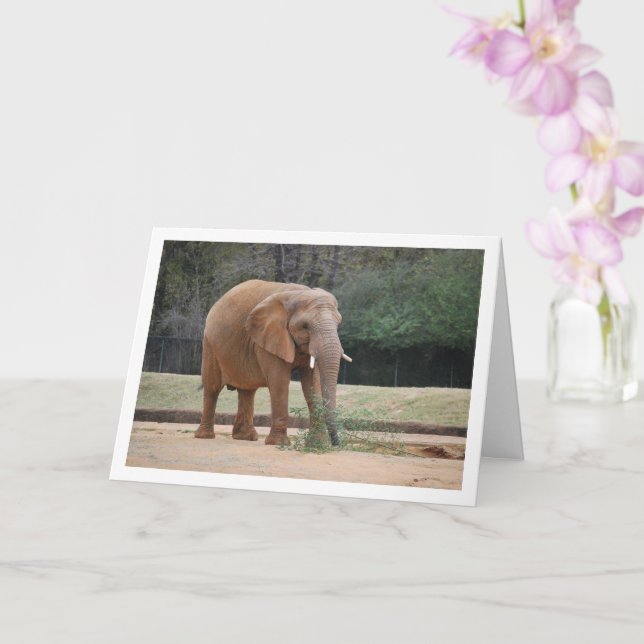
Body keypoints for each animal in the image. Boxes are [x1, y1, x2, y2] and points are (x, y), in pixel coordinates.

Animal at [195, 279, 352, 446]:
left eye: (338, 324)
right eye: (305, 326)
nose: (337, 443)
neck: (297, 294)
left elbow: (312, 384)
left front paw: (317, 444)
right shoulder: (267, 338)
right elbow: (279, 382)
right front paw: (279, 443)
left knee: (247, 390)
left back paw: (245, 437)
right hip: (210, 344)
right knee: (212, 387)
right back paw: (204, 436)